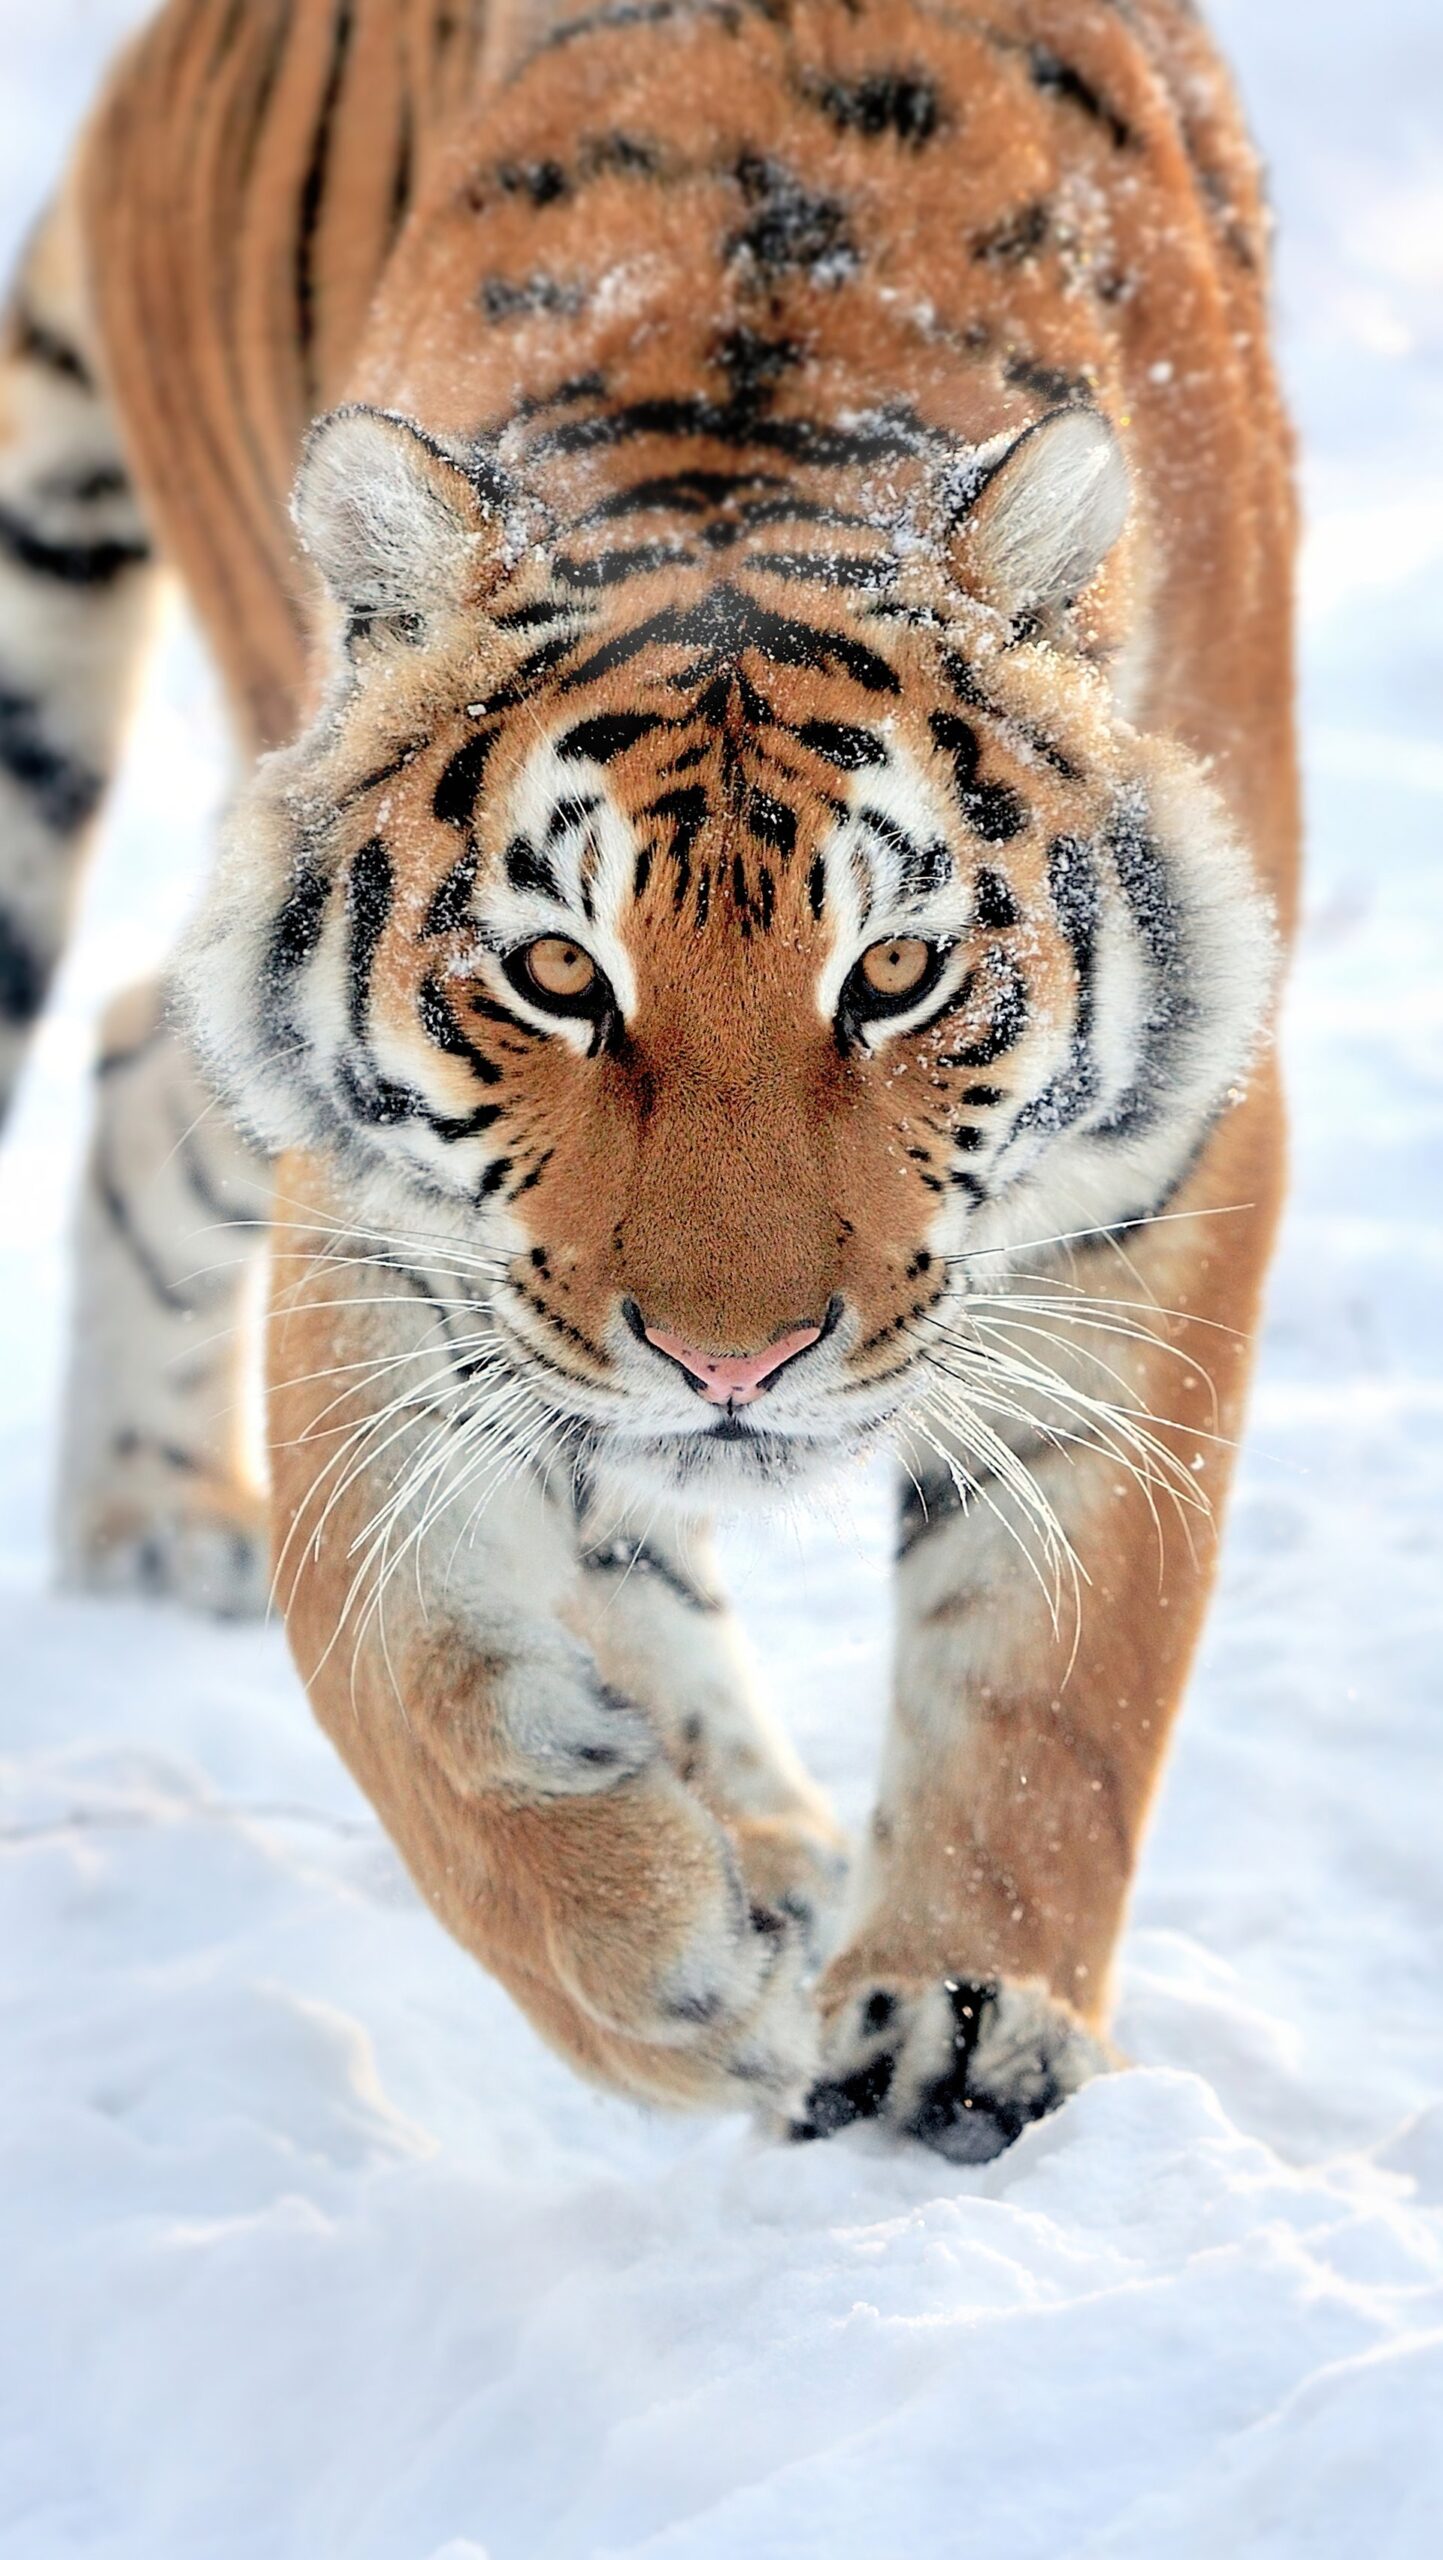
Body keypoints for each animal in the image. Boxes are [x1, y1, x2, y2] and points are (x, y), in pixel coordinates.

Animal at [0, 0, 1294, 2160]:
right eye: (556, 972)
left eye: (893, 970)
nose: (730, 1363)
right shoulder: (389, 1230)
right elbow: (409, 1672)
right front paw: (676, 1981)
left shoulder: (1165, 1171)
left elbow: (1053, 1659)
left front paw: (957, 2014)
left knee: (126, 1058)